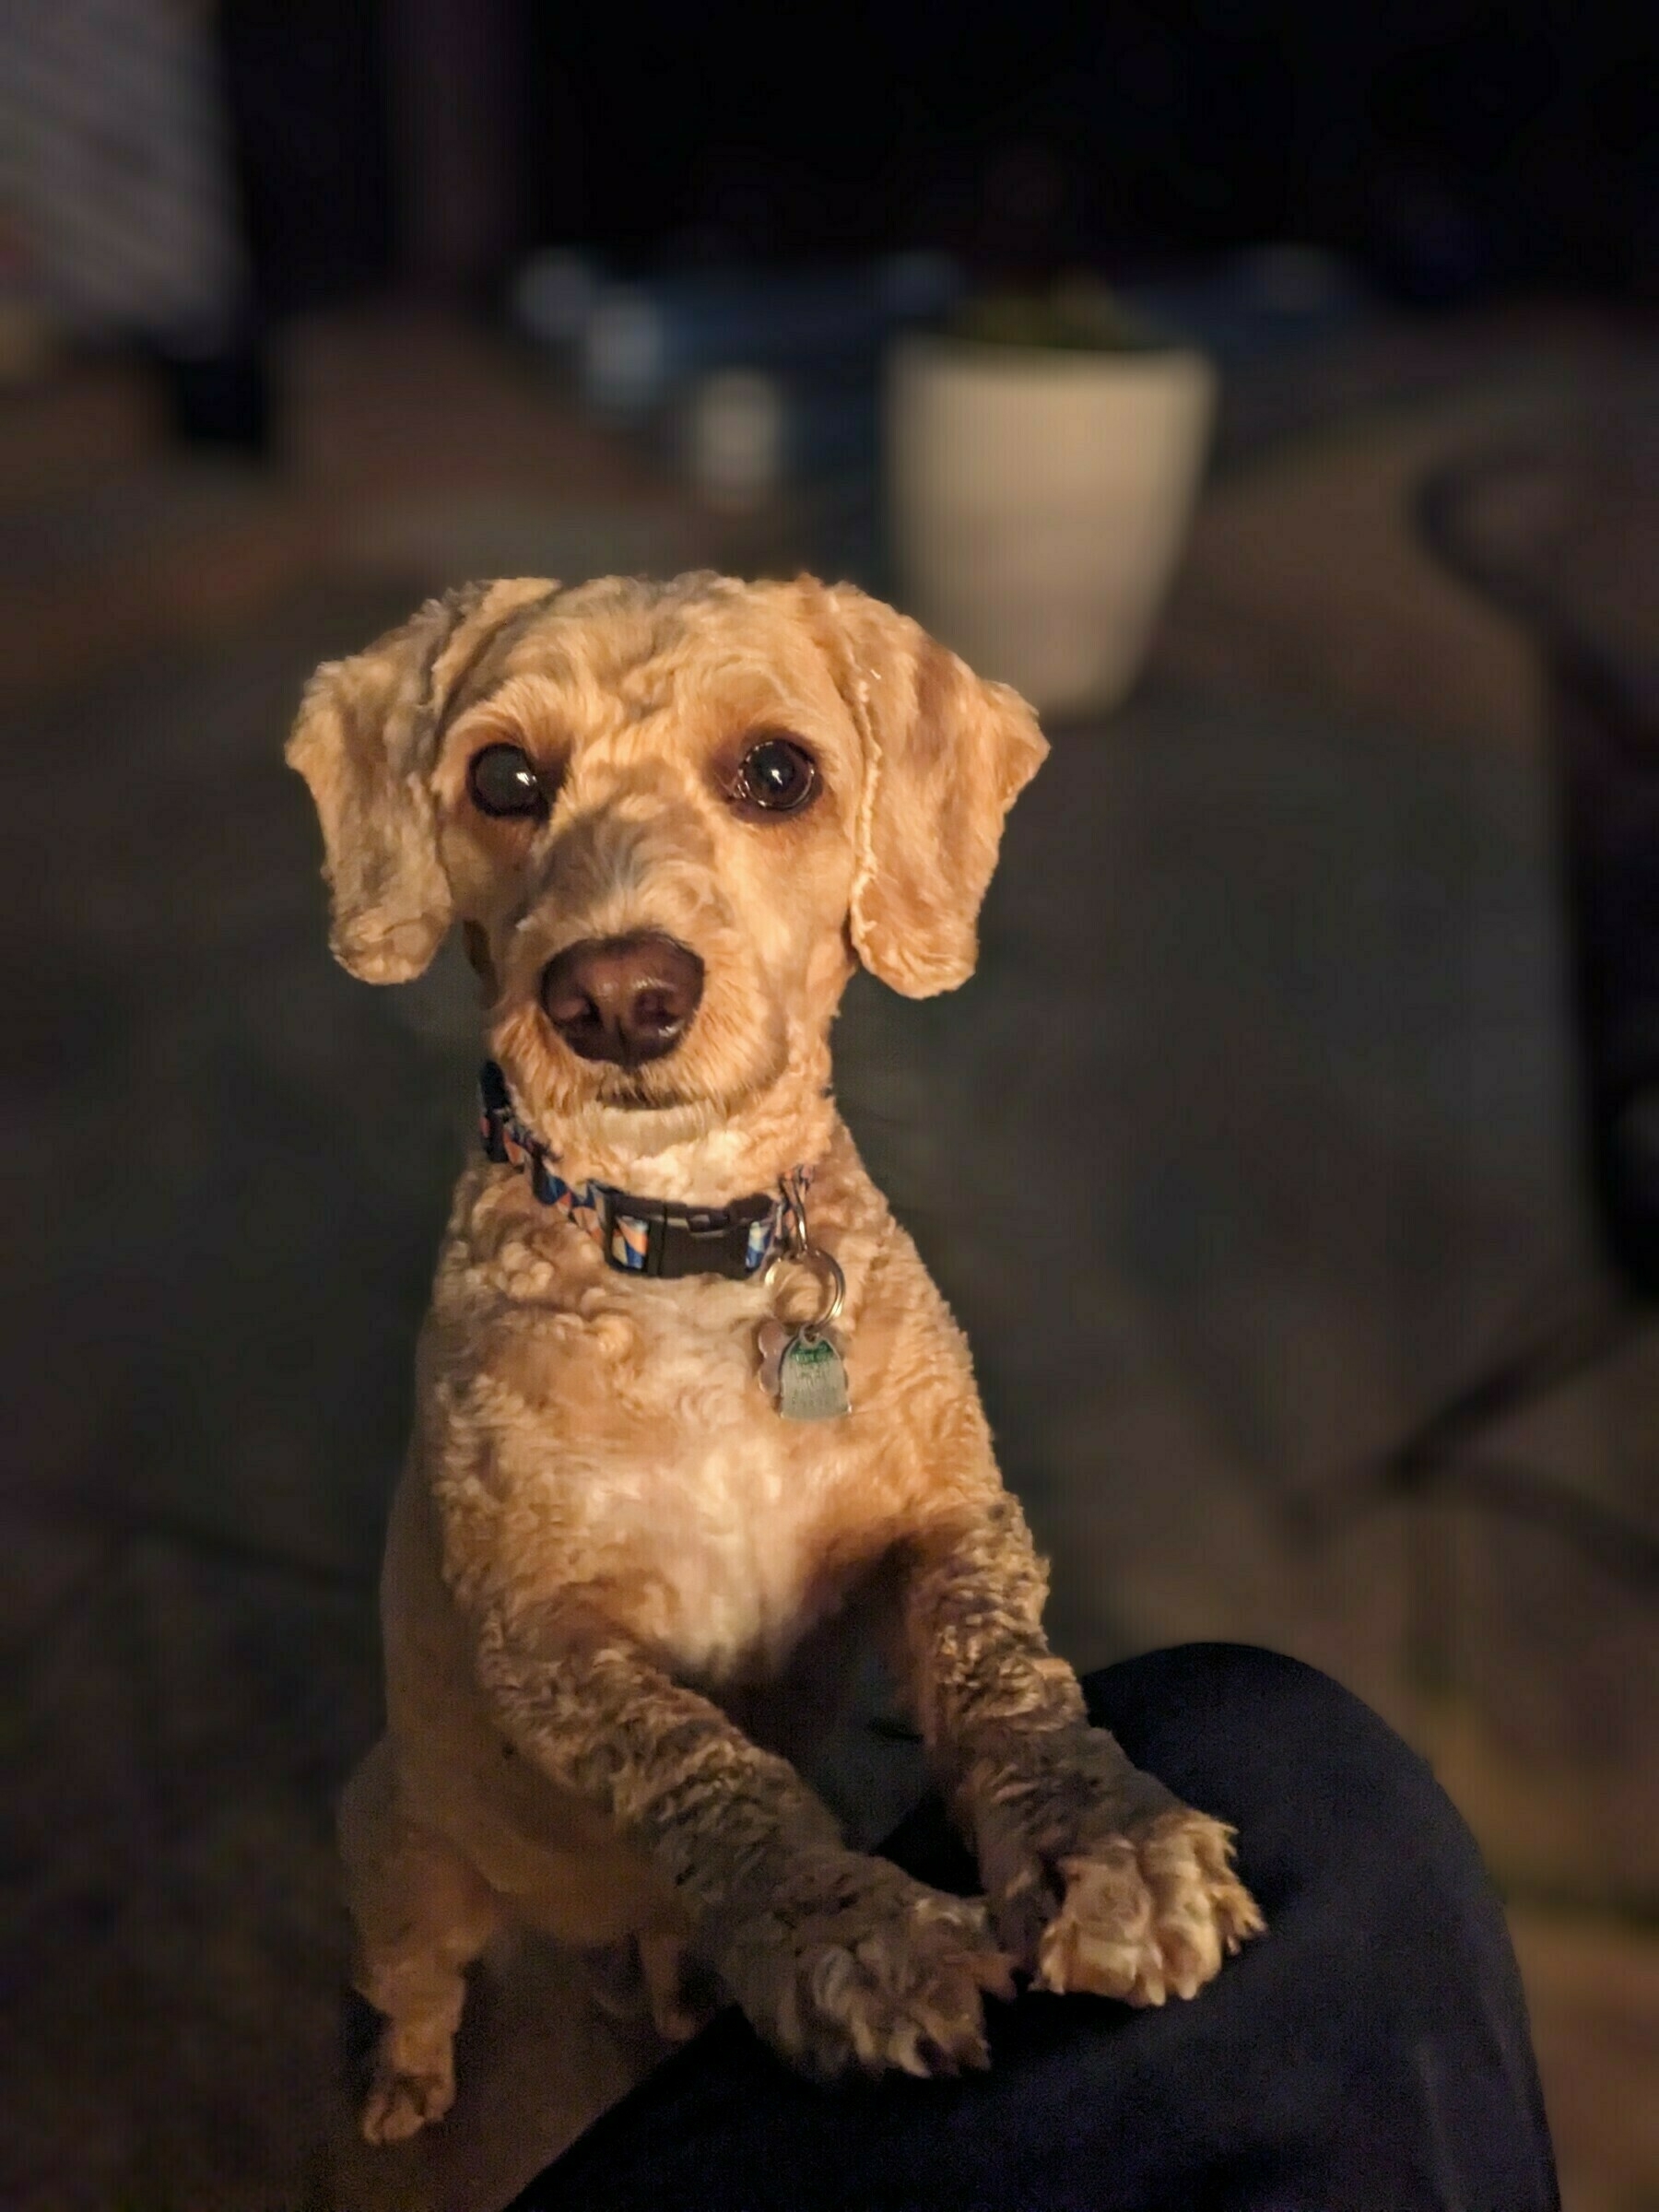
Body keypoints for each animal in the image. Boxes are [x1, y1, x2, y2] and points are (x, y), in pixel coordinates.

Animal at [285, 571, 1265, 2141]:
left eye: (779, 774)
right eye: (503, 779)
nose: (616, 994)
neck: (693, 1245)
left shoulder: (953, 1521)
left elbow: (1006, 1675)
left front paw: (1112, 1849)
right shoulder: (551, 1645)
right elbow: (712, 1768)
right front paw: (854, 1943)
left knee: (656, 1945)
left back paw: (682, 1996)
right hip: (397, 1858)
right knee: (420, 1982)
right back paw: (406, 2088)